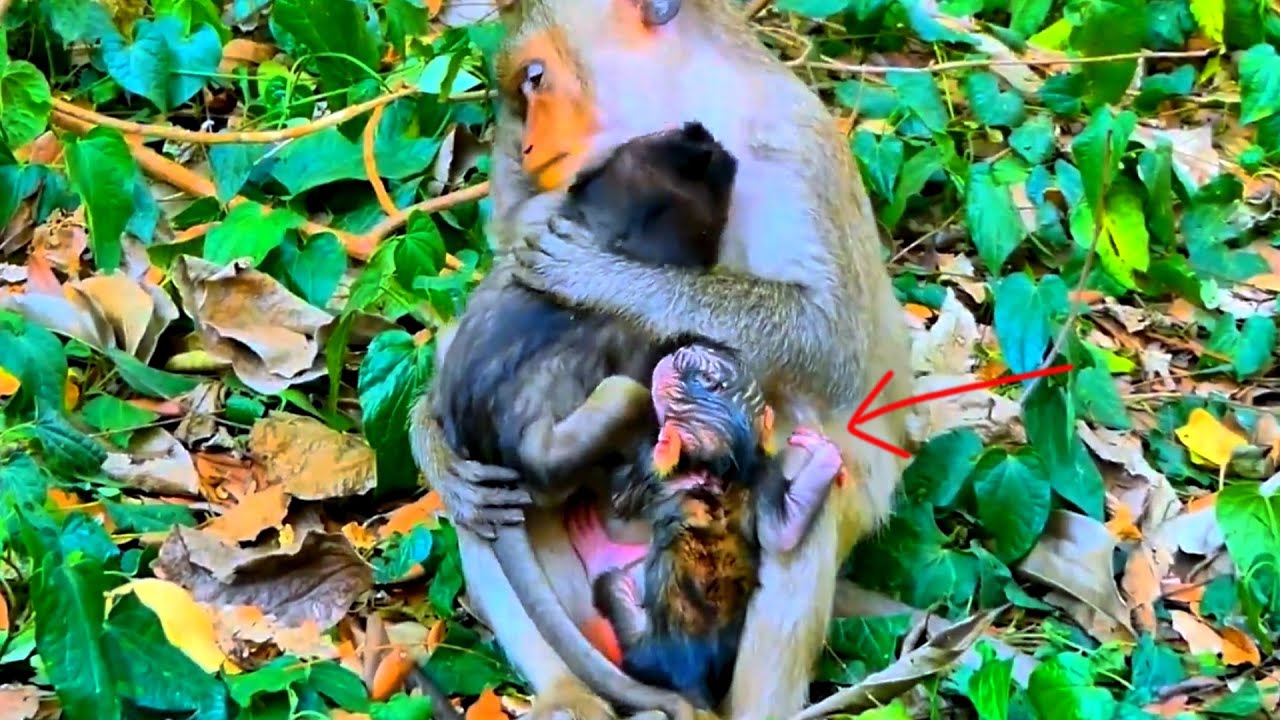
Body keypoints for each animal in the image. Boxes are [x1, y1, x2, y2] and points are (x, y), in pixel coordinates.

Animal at [429, 120, 738, 720]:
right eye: (715, 173)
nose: (703, 133)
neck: (618, 230)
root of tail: (488, 450)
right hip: (567, 442)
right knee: (618, 398)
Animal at [566, 342, 846, 711]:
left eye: (702, 377)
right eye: (714, 380)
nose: (687, 347)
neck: (720, 466)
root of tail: (692, 679)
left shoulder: (649, 469)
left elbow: (622, 497)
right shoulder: (764, 474)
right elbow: (782, 533)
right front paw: (824, 457)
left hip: (645, 647)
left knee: (614, 590)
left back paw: (596, 550)